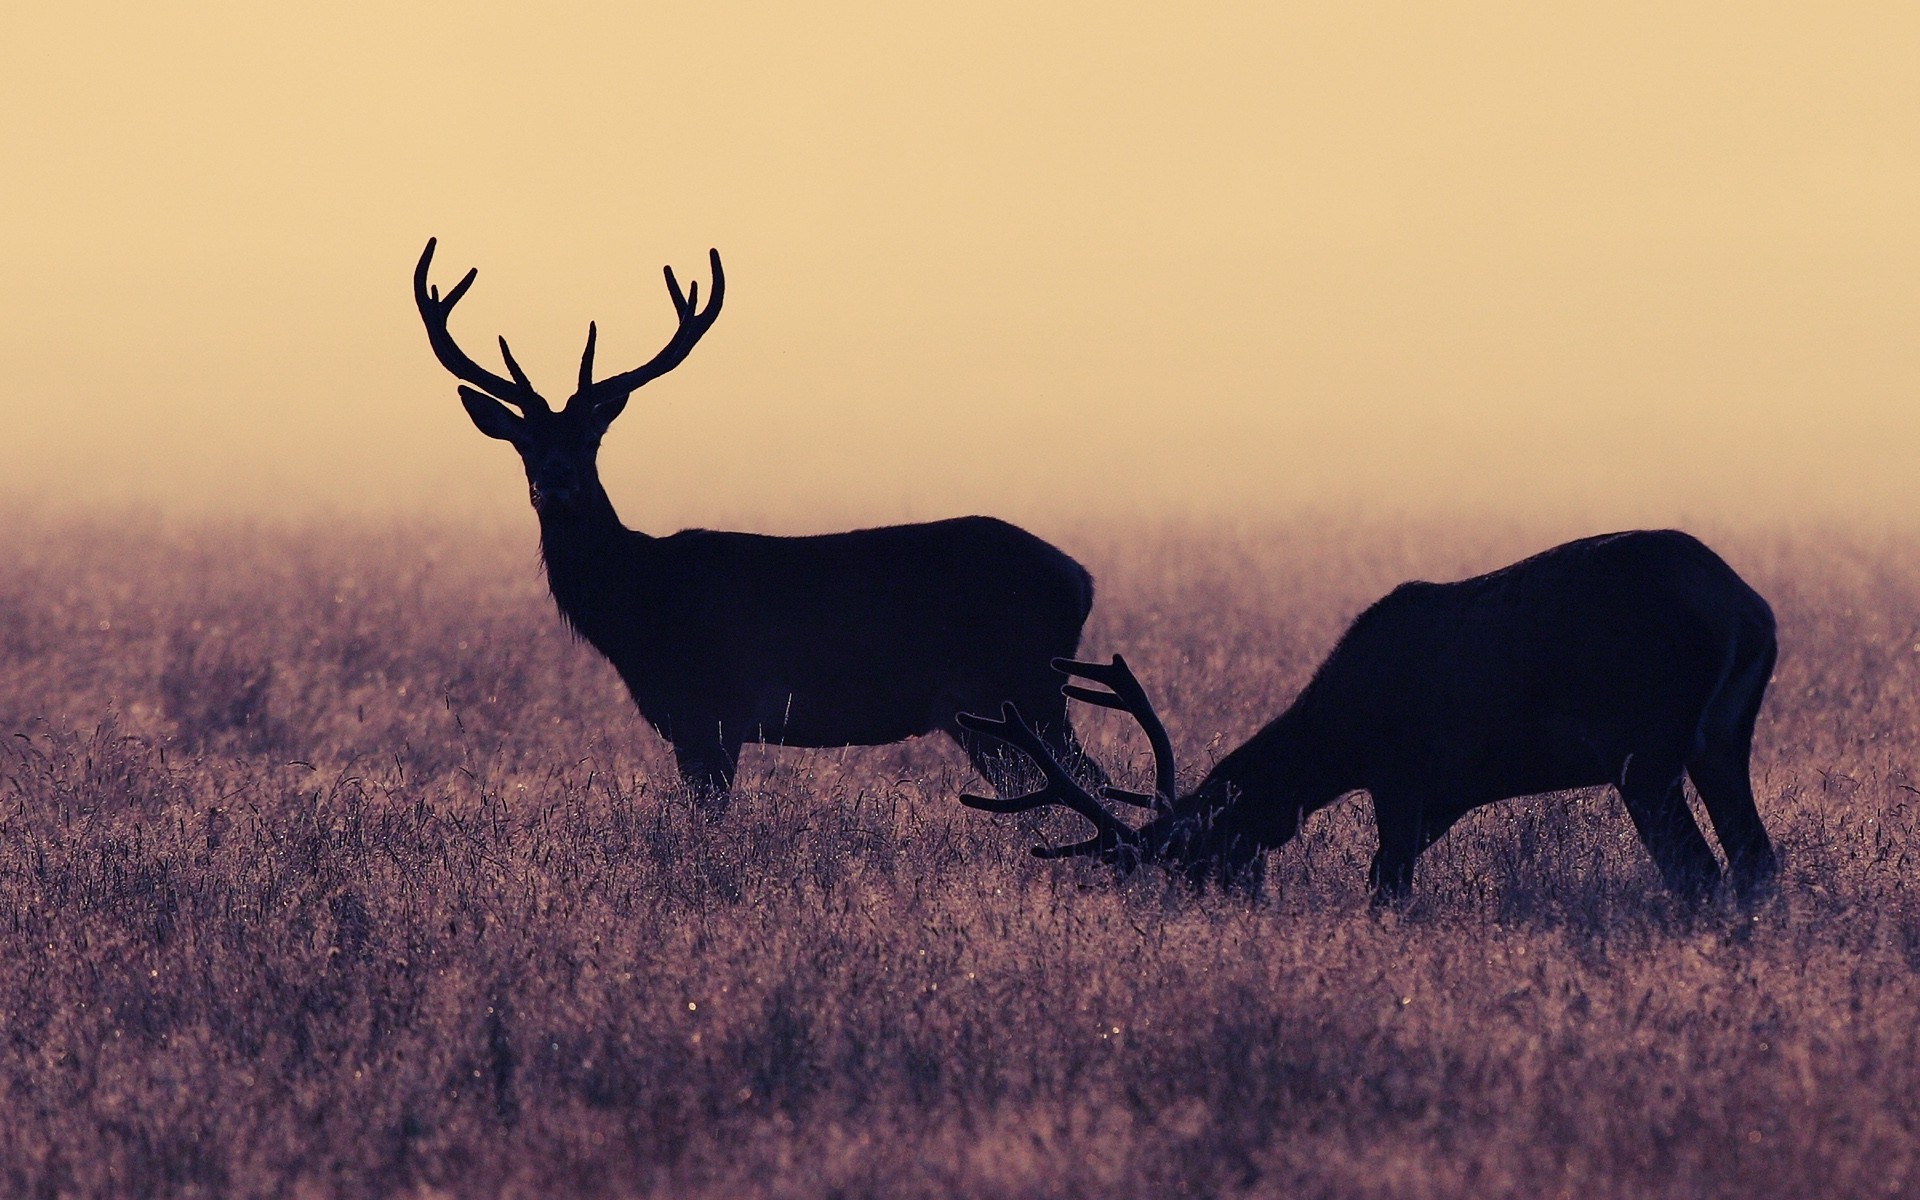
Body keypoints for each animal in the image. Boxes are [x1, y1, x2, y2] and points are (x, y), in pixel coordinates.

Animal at [415, 238, 1102, 803]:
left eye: (591, 438)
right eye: (524, 444)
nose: (555, 482)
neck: (639, 606)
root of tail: (1081, 578)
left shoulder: (712, 709)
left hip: (1023, 687)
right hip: (987, 712)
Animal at [958, 529, 1780, 906]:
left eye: (1199, 861)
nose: (1235, 911)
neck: (1339, 736)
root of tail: (1745, 610)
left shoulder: (1401, 769)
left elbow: (1388, 881)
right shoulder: (1441, 795)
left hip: (1646, 746)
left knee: (1697, 869)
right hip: (1721, 738)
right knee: (1754, 860)